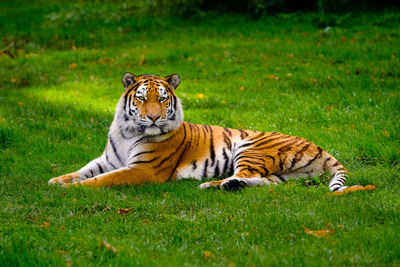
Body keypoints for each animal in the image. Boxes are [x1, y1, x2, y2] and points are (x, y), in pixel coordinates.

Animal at [47, 72, 362, 192]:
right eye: (141, 98)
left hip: (250, 147)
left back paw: (212, 185)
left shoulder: (144, 169)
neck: (128, 131)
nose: (153, 117)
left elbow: (103, 179)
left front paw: (72, 189)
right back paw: (228, 185)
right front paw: (57, 180)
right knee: (267, 182)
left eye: (162, 99)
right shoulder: (108, 159)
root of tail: (321, 148)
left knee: (249, 175)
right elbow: (84, 170)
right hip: (282, 174)